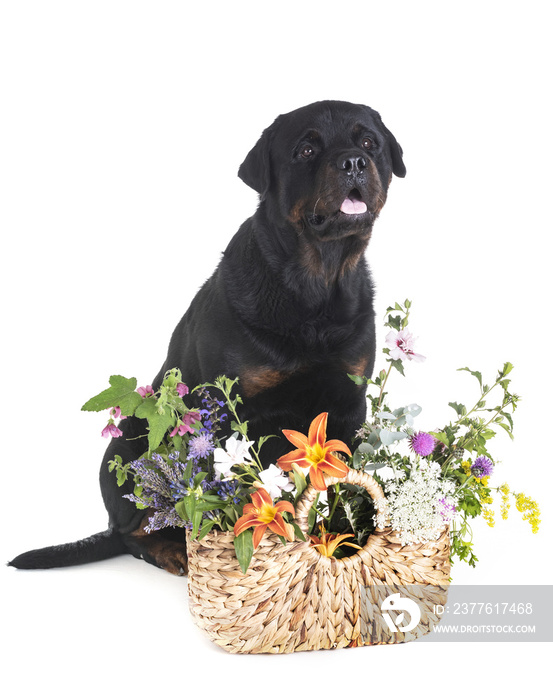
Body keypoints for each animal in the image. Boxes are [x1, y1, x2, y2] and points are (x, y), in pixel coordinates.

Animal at [9, 100, 406, 576]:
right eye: (307, 149)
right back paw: (173, 550)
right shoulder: (229, 415)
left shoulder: (348, 403)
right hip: (130, 445)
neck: (314, 287)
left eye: (369, 142)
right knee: (132, 532)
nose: (353, 161)